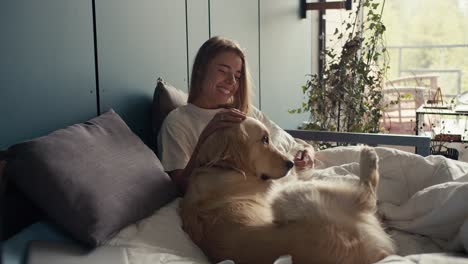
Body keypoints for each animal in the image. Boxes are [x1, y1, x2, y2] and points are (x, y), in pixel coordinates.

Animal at [180, 117, 394, 264]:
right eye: (264, 139)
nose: (290, 164)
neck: (223, 167)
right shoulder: (279, 184)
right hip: (291, 196)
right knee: (366, 196)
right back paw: (368, 156)